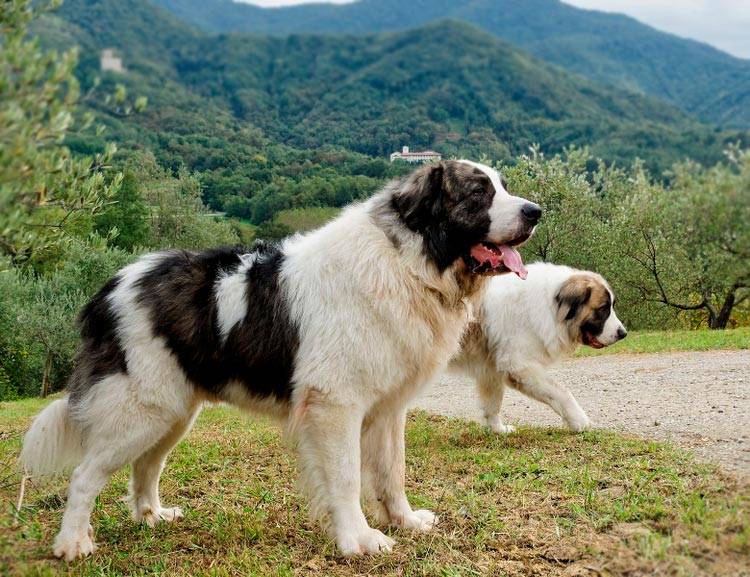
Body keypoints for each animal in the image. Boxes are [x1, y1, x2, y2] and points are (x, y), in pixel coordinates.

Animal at [20, 159, 544, 560]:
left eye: (501, 186)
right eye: (478, 192)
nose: (535, 211)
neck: (407, 262)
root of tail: (111, 287)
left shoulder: (388, 409)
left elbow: (390, 472)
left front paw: (406, 520)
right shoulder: (335, 406)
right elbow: (347, 477)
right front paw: (358, 539)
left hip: (171, 413)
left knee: (145, 467)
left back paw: (153, 517)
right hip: (139, 409)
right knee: (85, 475)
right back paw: (72, 544)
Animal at [452, 260, 628, 432]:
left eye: (611, 306)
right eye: (603, 309)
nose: (623, 333)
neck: (551, 308)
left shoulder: (492, 370)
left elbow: (493, 404)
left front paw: (498, 429)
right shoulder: (520, 366)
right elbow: (562, 392)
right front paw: (579, 421)